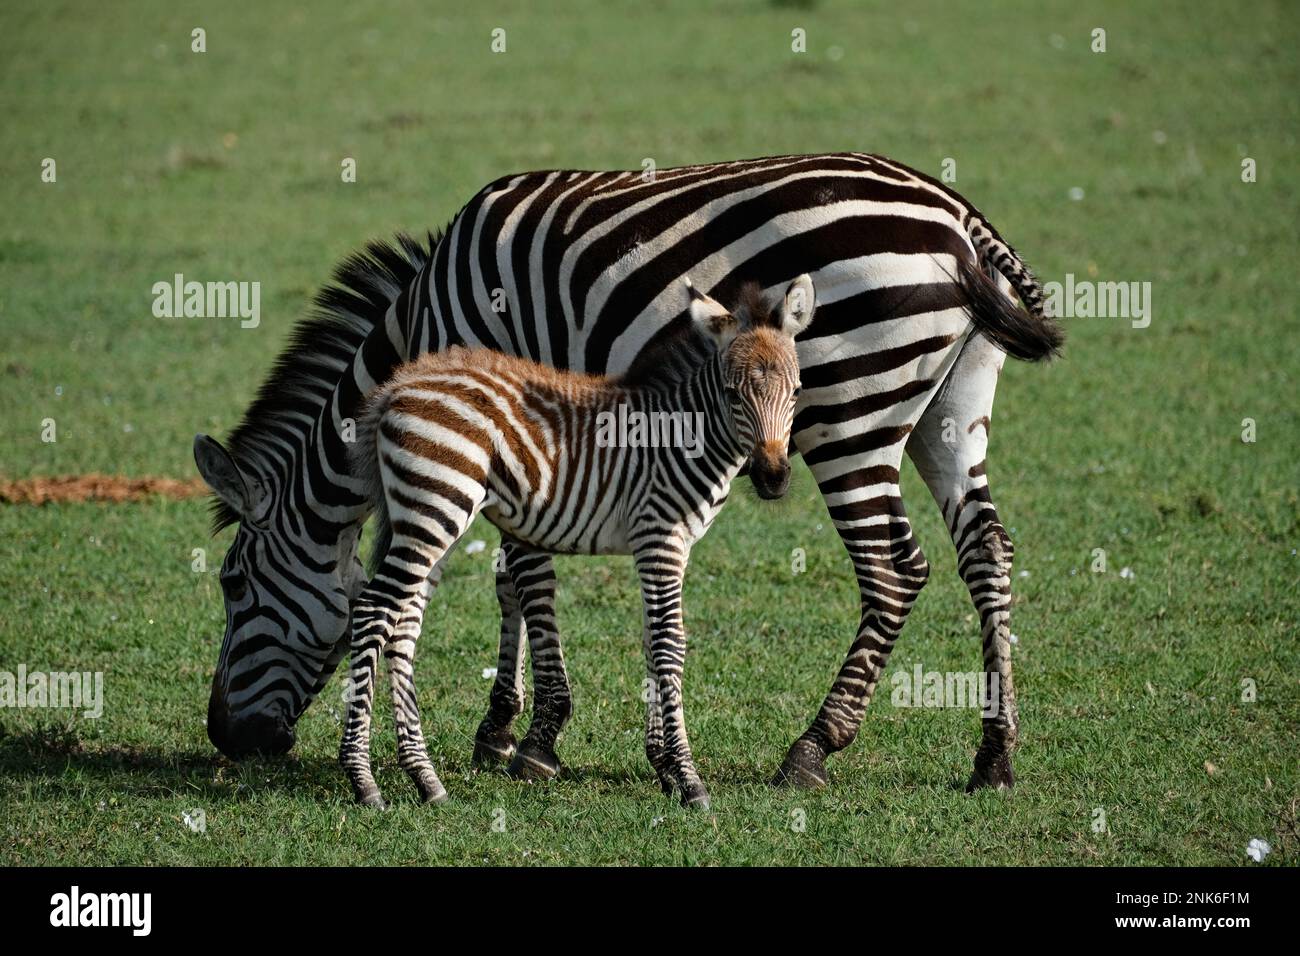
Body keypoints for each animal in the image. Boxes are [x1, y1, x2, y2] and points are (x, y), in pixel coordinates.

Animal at [340, 277, 813, 809]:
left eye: (796, 391)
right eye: (733, 393)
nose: (773, 478)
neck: (683, 436)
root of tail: (395, 388)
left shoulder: (669, 546)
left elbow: (651, 642)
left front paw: (665, 768)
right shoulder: (660, 537)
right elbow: (671, 644)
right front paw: (689, 780)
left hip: (425, 519)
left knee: (403, 625)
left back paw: (425, 779)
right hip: (435, 507)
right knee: (374, 610)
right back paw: (363, 780)